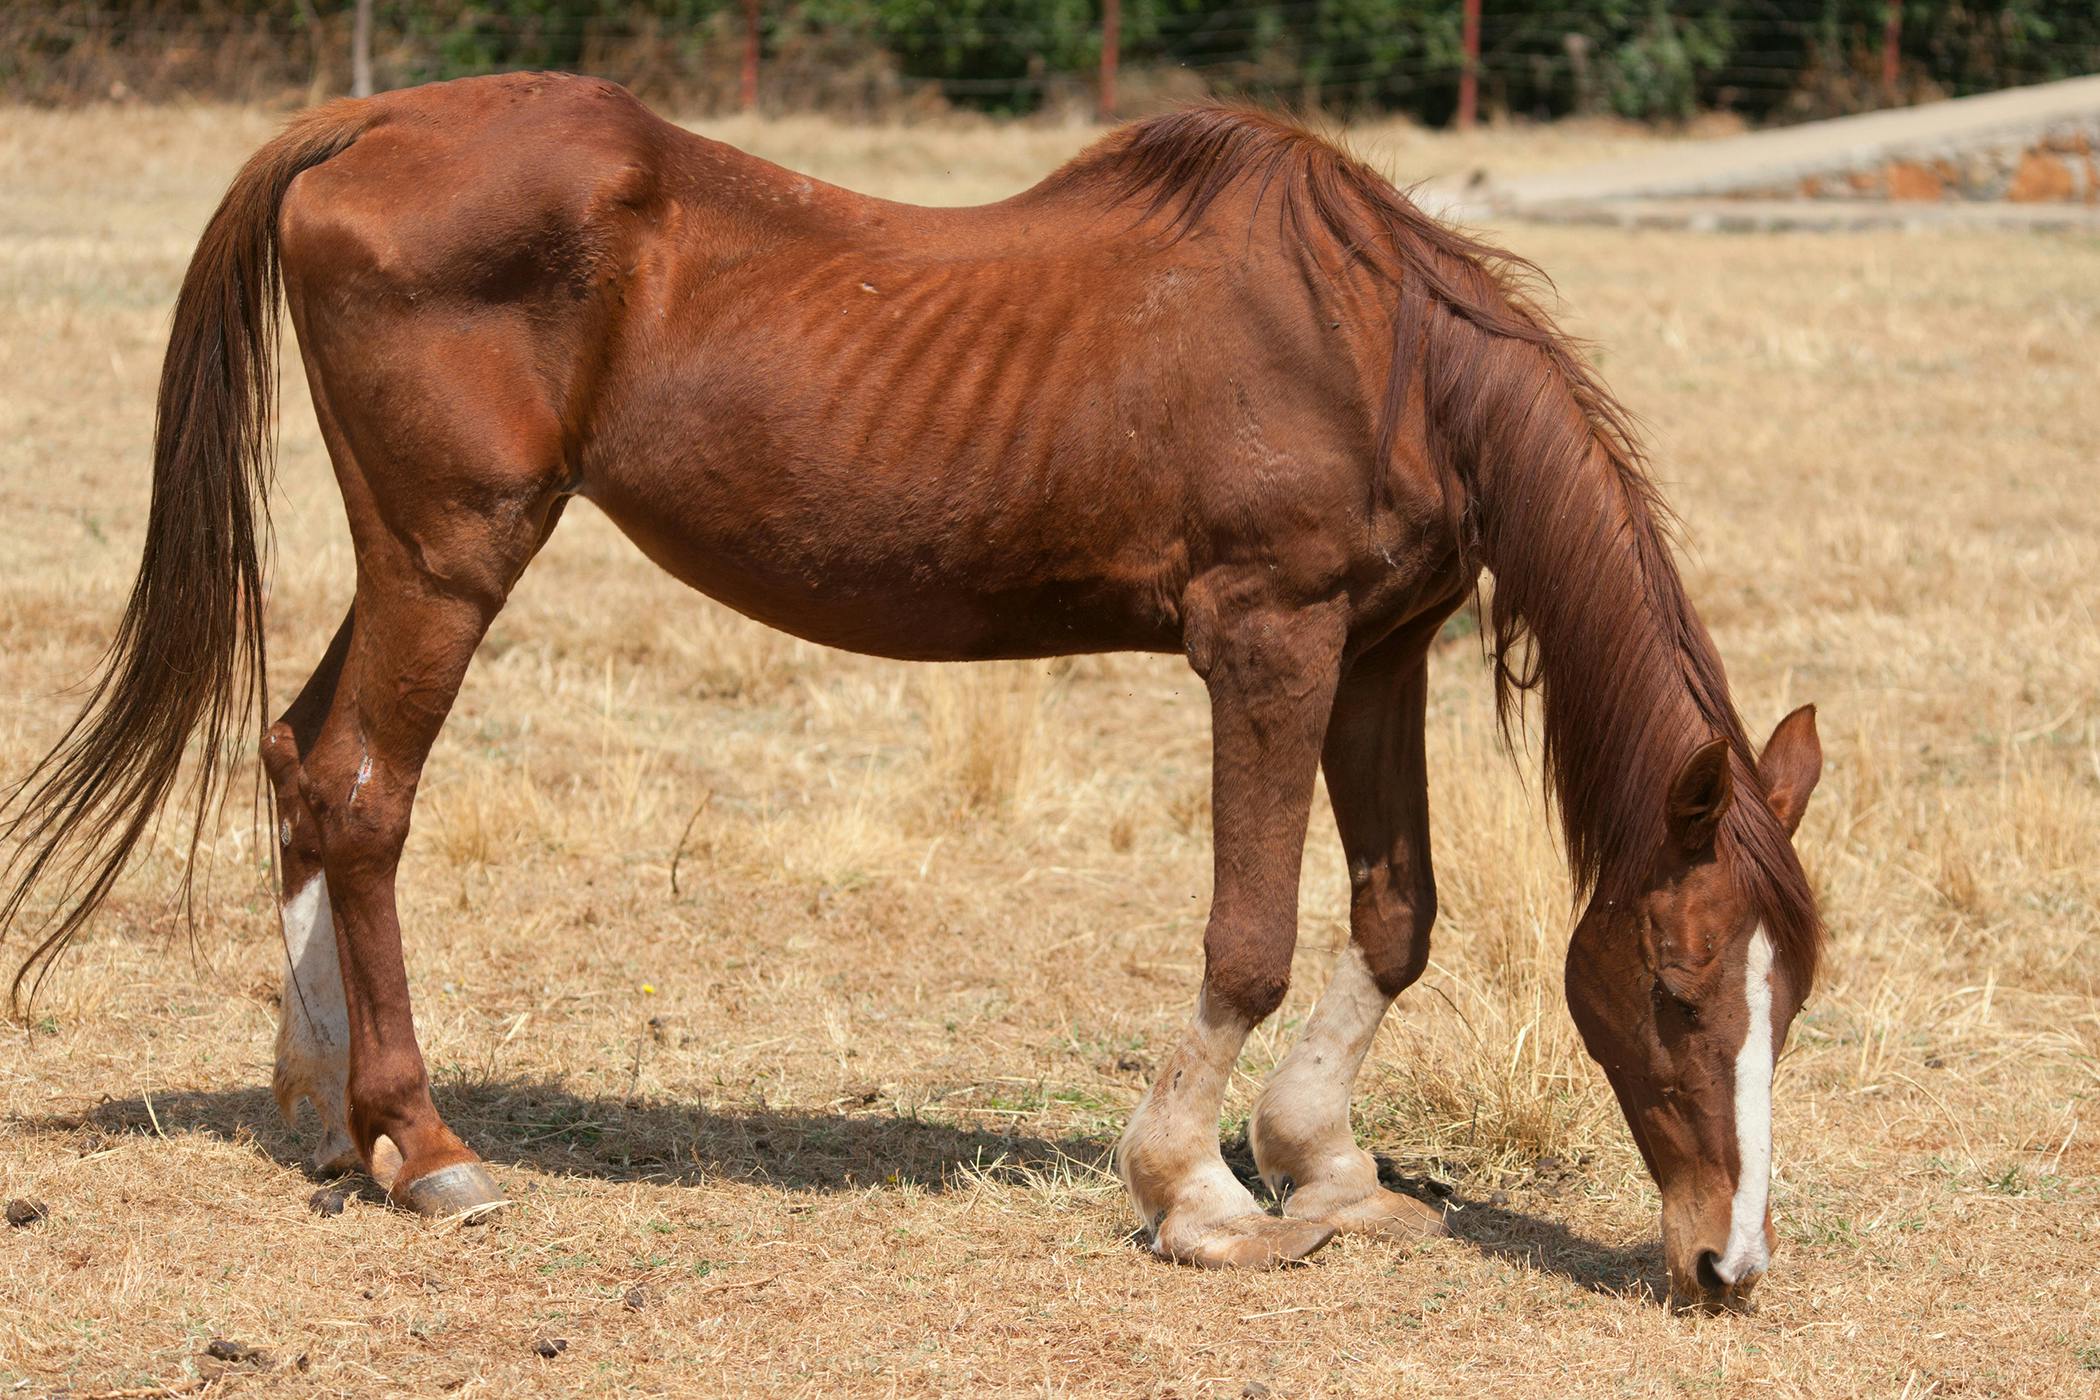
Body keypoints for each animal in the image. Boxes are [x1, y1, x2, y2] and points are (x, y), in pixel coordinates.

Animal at [0, 75, 1823, 1310]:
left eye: (1789, 1000)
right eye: (1676, 990)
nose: (1725, 1267)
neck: (1375, 347)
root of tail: (358, 122)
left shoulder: (1377, 651)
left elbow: (1397, 916)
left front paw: (1325, 1161)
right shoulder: (1269, 642)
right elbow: (1249, 934)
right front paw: (1197, 1193)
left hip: (408, 555)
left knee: (301, 759)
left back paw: (322, 1114)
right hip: (453, 554)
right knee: (366, 791)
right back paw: (429, 1150)